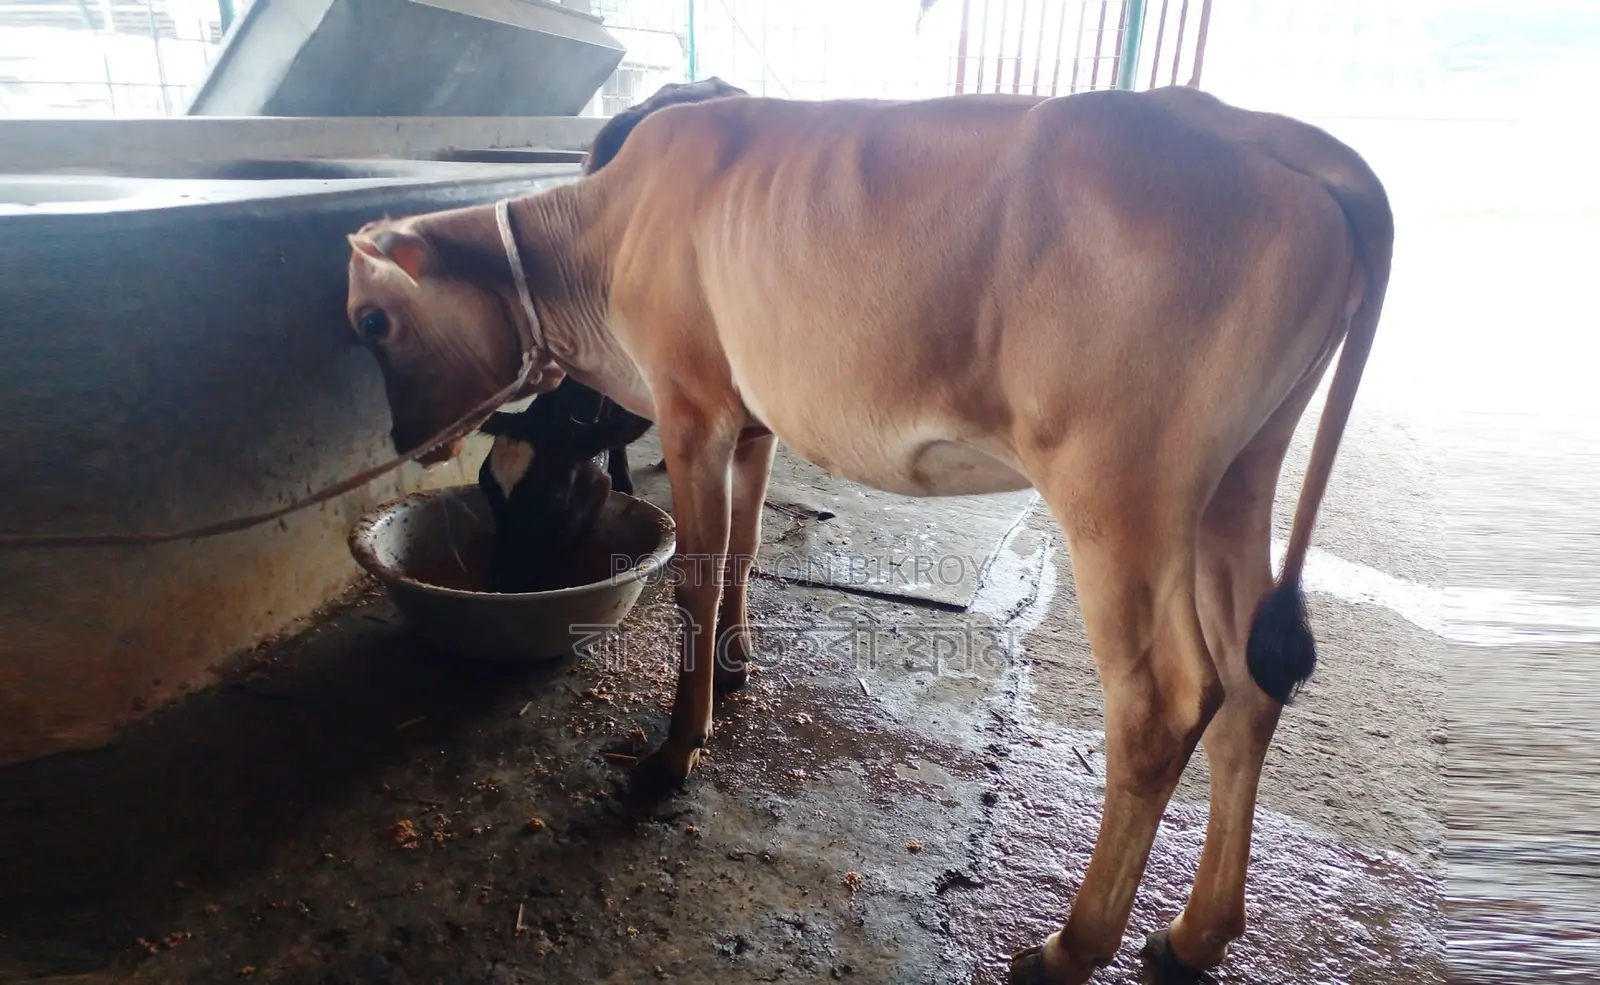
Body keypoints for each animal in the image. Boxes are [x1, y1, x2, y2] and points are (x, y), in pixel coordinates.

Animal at [343, 85, 1393, 984]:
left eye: (371, 320)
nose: (403, 438)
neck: (605, 236)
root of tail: (1264, 130)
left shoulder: (691, 403)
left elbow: (695, 574)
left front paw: (674, 751)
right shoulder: (751, 415)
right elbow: (745, 551)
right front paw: (735, 670)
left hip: (1120, 487)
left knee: (1165, 703)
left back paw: (1070, 946)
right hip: (1239, 474)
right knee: (1254, 677)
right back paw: (1194, 932)